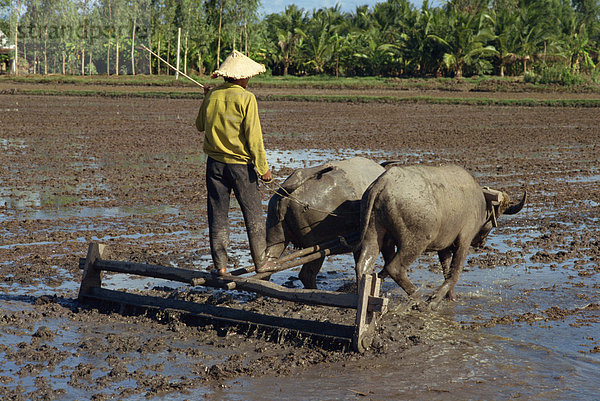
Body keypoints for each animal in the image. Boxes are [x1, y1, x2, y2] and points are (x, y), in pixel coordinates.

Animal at [354, 164, 528, 308]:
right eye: (495, 219)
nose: (481, 243)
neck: (479, 201)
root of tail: (383, 183)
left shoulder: (444, 248)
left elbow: (446, 271)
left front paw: (450, 297)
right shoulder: (464, 241)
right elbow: (455, 273)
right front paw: (435, 299)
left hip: (373, 234)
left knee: (364, 265)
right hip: (415, 243)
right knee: (394, 268)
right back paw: (419, 300)